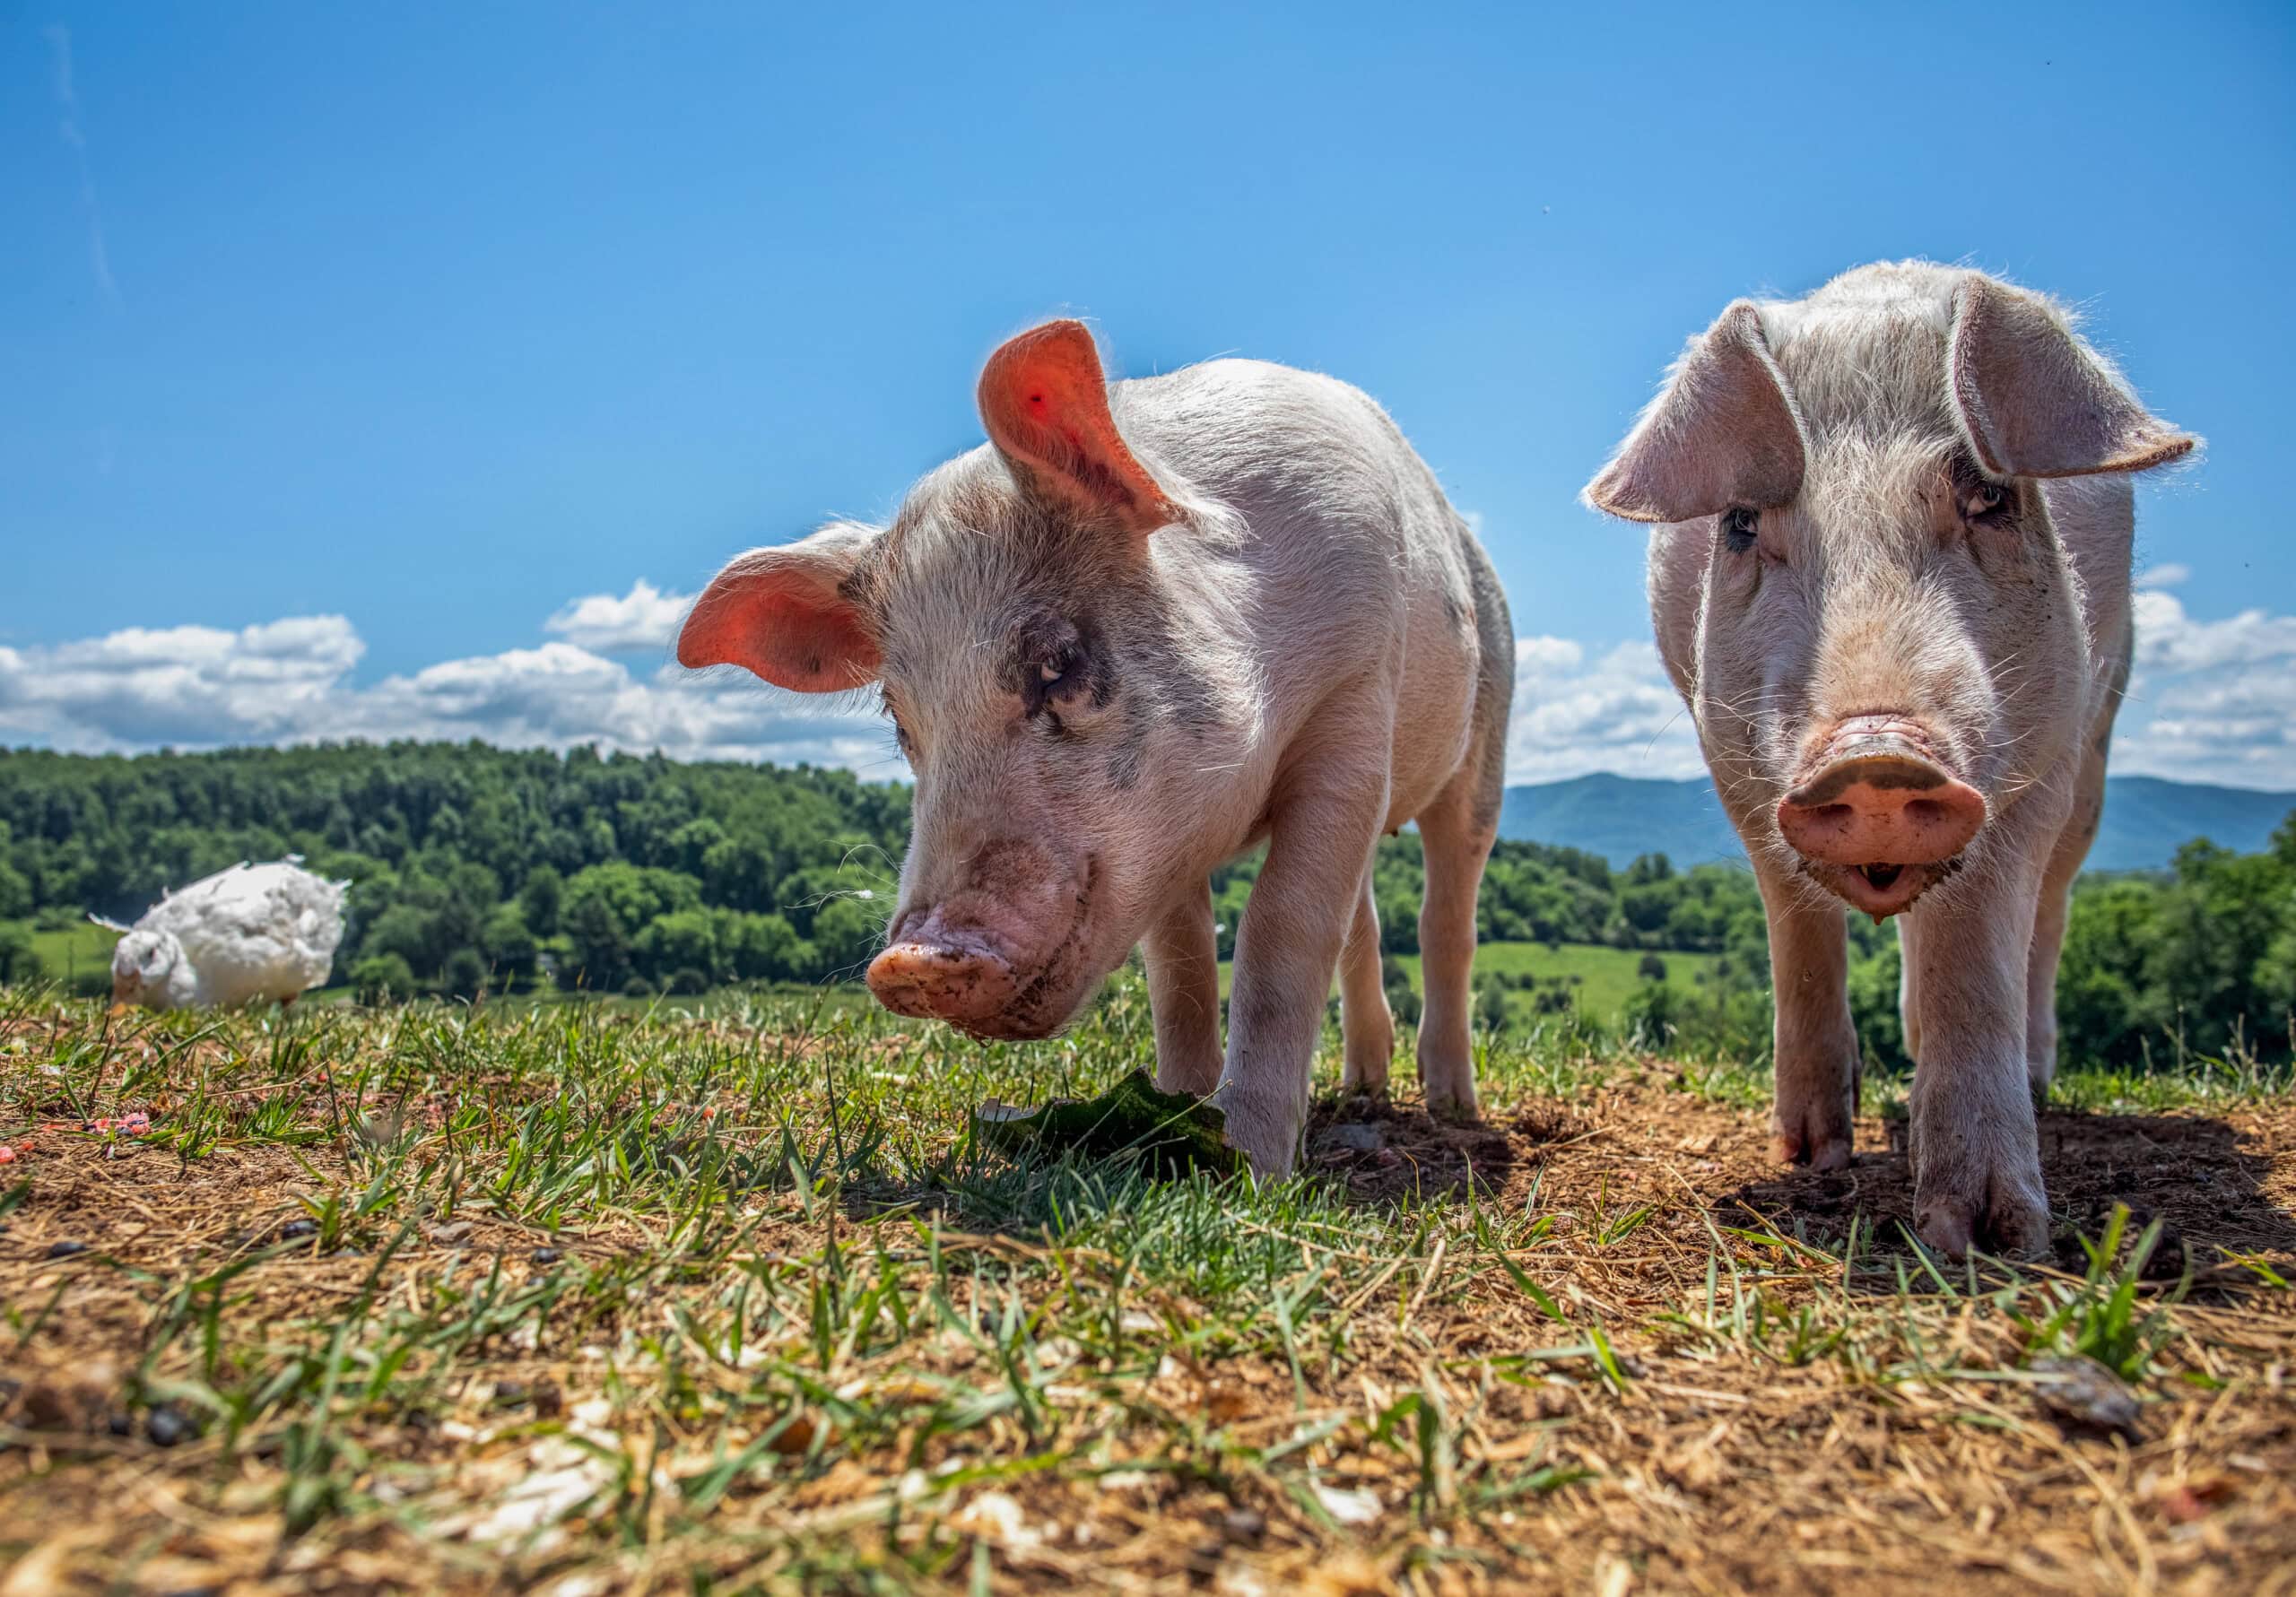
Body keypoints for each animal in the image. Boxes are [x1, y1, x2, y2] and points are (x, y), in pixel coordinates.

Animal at [674, 321, 1506, 1175]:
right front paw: (1184, 1113)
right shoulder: (1167, 836)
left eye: (1058, 661)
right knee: (1365, 921)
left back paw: (1451, 1104)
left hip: (1488, 729)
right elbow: (1181, 962)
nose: (912, 964)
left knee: (1447, 915)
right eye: (899, 716)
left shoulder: (1356, 698)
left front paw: (1253, 1167)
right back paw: (1363, 1089)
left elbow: (1282, 927)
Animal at [1588, 265, 2195, 1257]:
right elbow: (1797, 925)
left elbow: (1976, 957)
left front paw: (1985, 1237)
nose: (1876, 754)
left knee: (2048, 910)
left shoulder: (2045, 752)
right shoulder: (1730, 764)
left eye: (1989, 496)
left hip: (2101, 737)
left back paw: (2031, 1084)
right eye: (1742, 522)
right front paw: (1811, 1154)